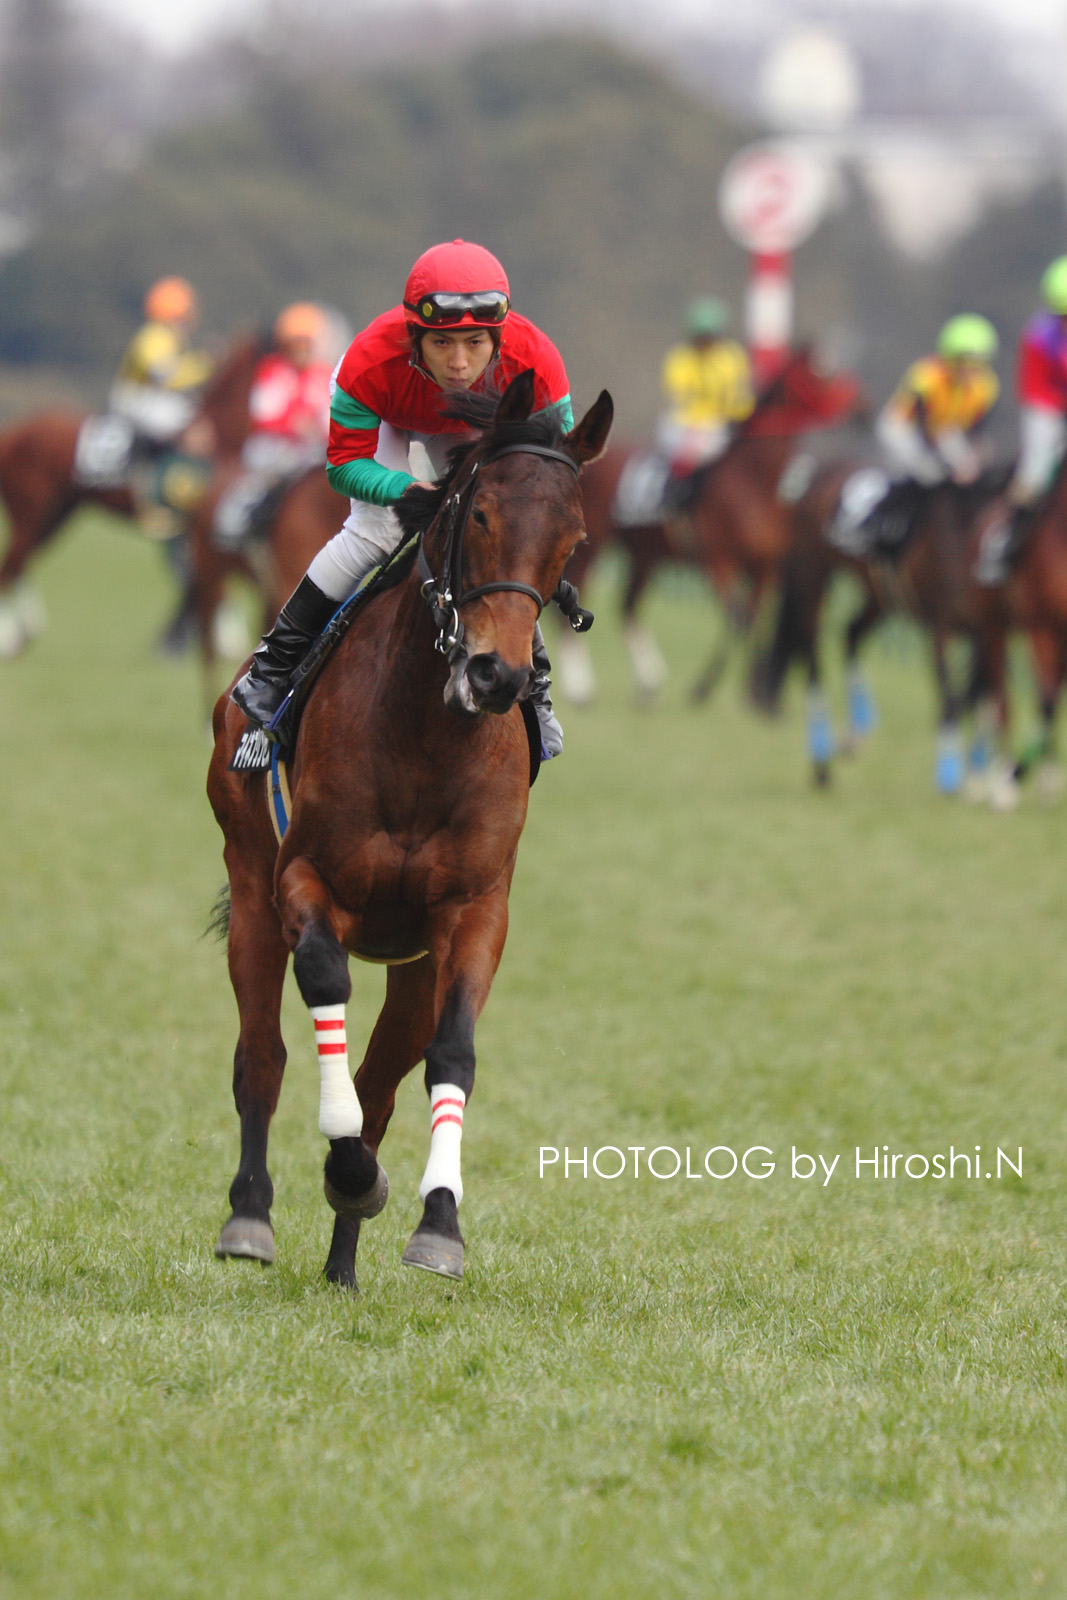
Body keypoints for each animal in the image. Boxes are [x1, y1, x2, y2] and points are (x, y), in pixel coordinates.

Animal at [0, 334, 263, 659]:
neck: (215, 436)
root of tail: (11, 434)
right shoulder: (191, 523)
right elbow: (204, 581)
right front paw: (206, 640)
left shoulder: (188, 527)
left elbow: (200, 580)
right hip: (32, 513)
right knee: (11, 565)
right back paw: (12, 637)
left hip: (55, 515)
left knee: (18, 563)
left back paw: (26, 631)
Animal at [206, 374, 614, 1286]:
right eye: (481, 514)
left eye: (571, 537)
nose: (497, 674)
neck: (426, 739)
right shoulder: (303, 879)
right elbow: (322, 983)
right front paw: (345, 1175)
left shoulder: (471, 912)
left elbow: (450, 1054)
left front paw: (437, 1224)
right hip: (249, 892)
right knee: (260, 1057)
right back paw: (250, 1215)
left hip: (412, 965)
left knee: (379, 1084)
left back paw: (341, 1264)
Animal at [563, 350, 863, 707]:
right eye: (819, 376)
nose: (865, 407)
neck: (752, 482)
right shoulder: (719, 561)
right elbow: (736, 619)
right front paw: (704, 687)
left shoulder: (763, 569)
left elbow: (753, 621)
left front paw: (752, 690)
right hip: (597, 543)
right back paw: (580, 687)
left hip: (645, 554)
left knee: (628, 607)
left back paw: (648, 684)